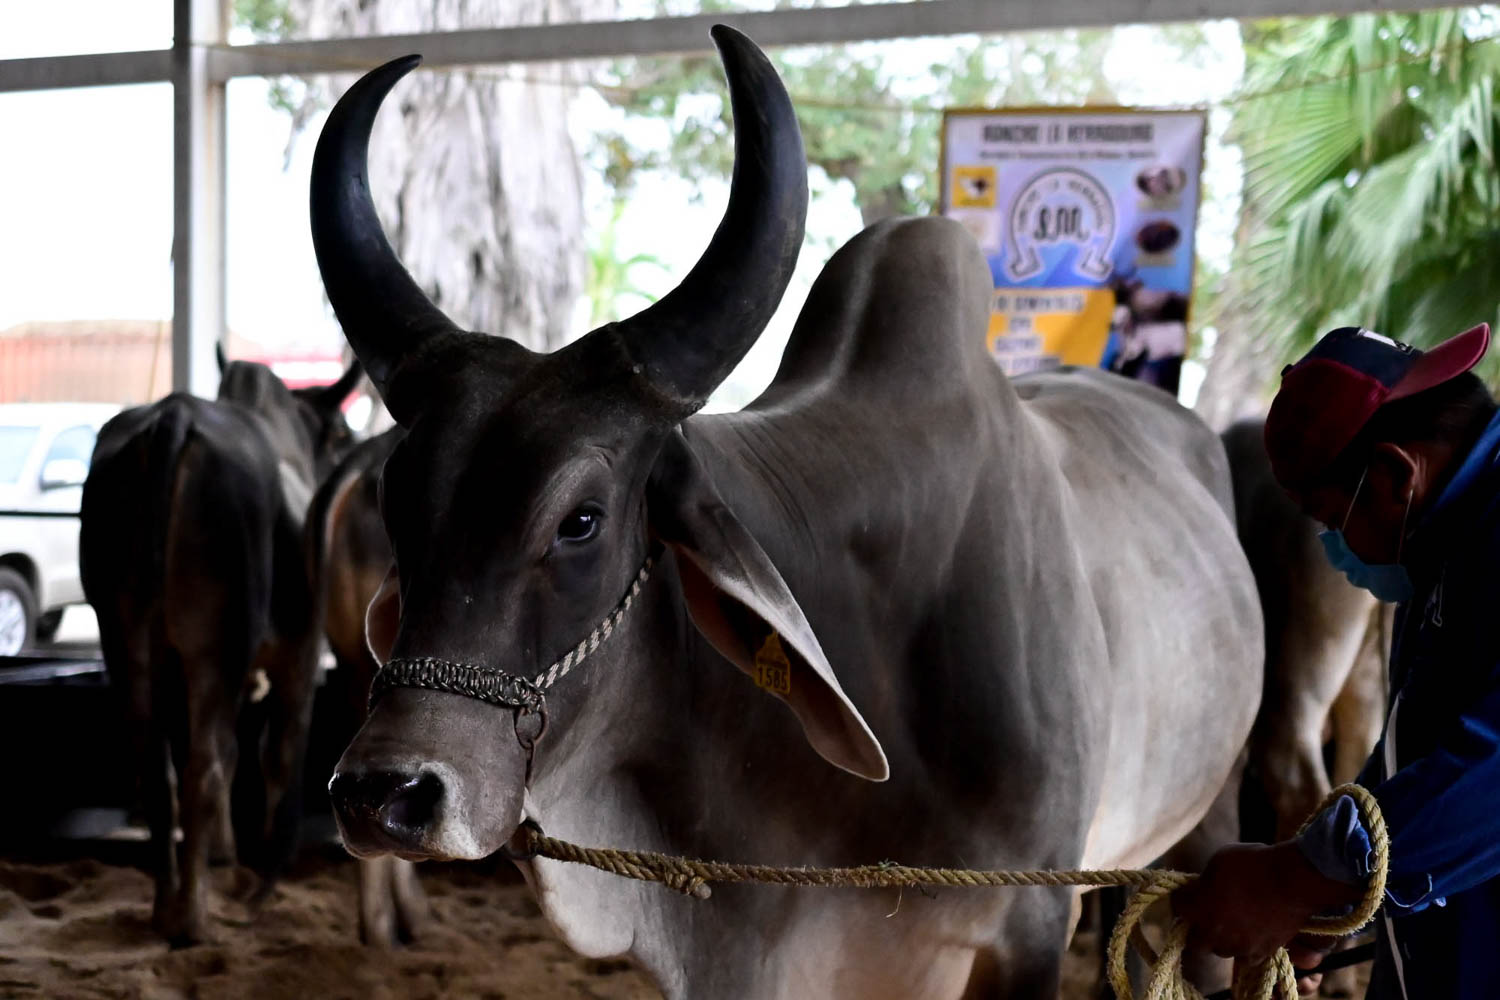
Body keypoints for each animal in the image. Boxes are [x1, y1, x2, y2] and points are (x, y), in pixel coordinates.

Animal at [82, 358, 360, 947]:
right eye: (343, 434)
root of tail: (174, 415)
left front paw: (225, 857)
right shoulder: (302, 654)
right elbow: (278, 752)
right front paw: (266, 874)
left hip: (126, 636)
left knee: (159, 763)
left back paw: (168, 905)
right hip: (217, 642)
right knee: (206, 764)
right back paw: (192, 919)